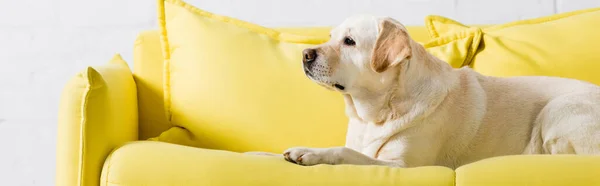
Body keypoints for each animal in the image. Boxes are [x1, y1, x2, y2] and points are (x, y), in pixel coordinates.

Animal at [247, 15, 600, 168]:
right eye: (330, 36)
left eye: (349, 42)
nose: (305, 54)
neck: (377, 111)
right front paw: (260, 155)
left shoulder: (403, 167)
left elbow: (346, 153)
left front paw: (311, 153)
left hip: (557, 111)